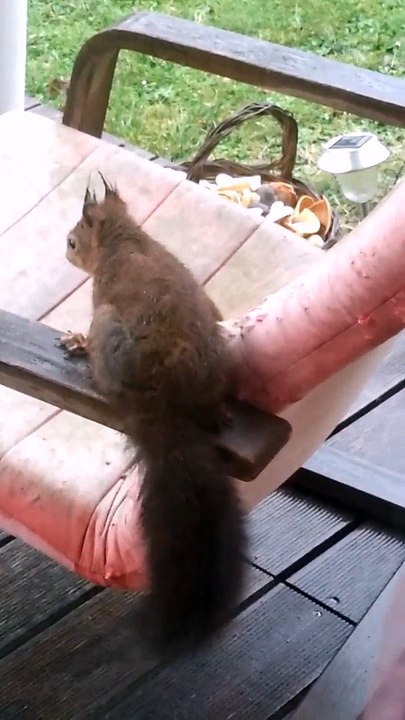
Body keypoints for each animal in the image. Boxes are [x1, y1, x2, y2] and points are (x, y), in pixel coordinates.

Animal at [59, 174, 246, 652]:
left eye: (73, 241)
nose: (65, 253)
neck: (127, 239)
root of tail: (167, 400)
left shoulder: (102, 292)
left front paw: (76, 341)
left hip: (108, 327)